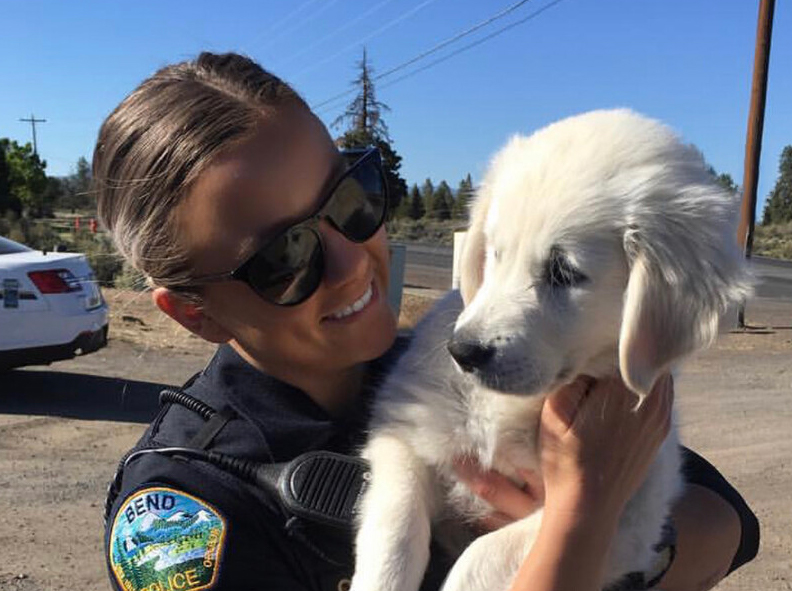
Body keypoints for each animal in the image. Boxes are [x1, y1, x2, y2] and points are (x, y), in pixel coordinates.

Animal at [350, 110, 752, 591]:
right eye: (495, 253)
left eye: (564, 272)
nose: (461, 352)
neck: (516, 407)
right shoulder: (403, 440)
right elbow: (394, 536)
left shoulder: (625, 516)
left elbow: (481, 555)